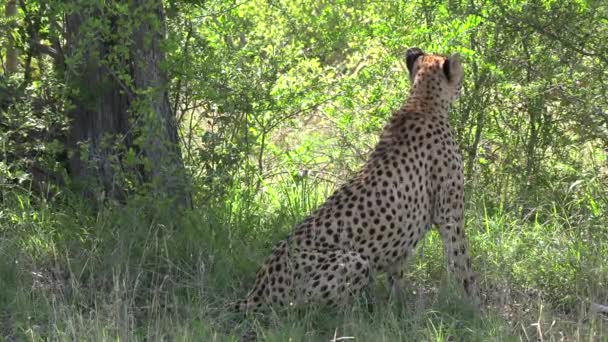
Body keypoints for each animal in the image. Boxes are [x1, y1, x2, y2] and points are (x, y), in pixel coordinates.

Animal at [238, 47, 480, 312]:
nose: (464, 83)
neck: (422, 102)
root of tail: (255, 293)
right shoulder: (450, 216)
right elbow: (462, 261)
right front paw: (473, 305)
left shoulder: (403, 239)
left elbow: (397, 277)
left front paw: (397, 308)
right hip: (354, 260)